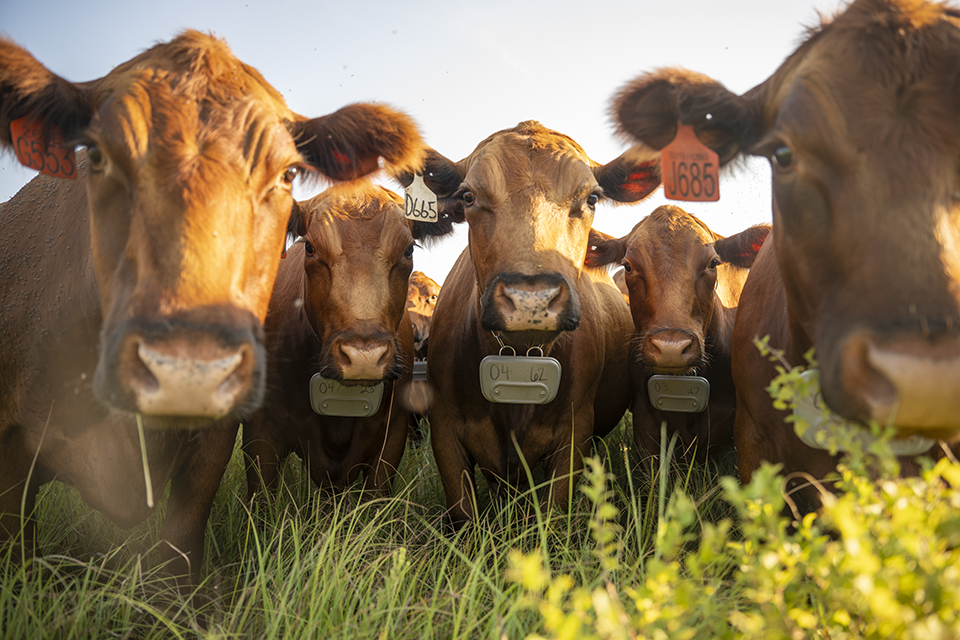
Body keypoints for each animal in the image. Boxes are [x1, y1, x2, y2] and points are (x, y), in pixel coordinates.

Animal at [402, 120, 664, 524]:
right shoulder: (443, 430)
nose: (531, 299)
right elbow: (464, 515)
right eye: (467, 196)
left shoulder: (575, 431)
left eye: (591, 198)